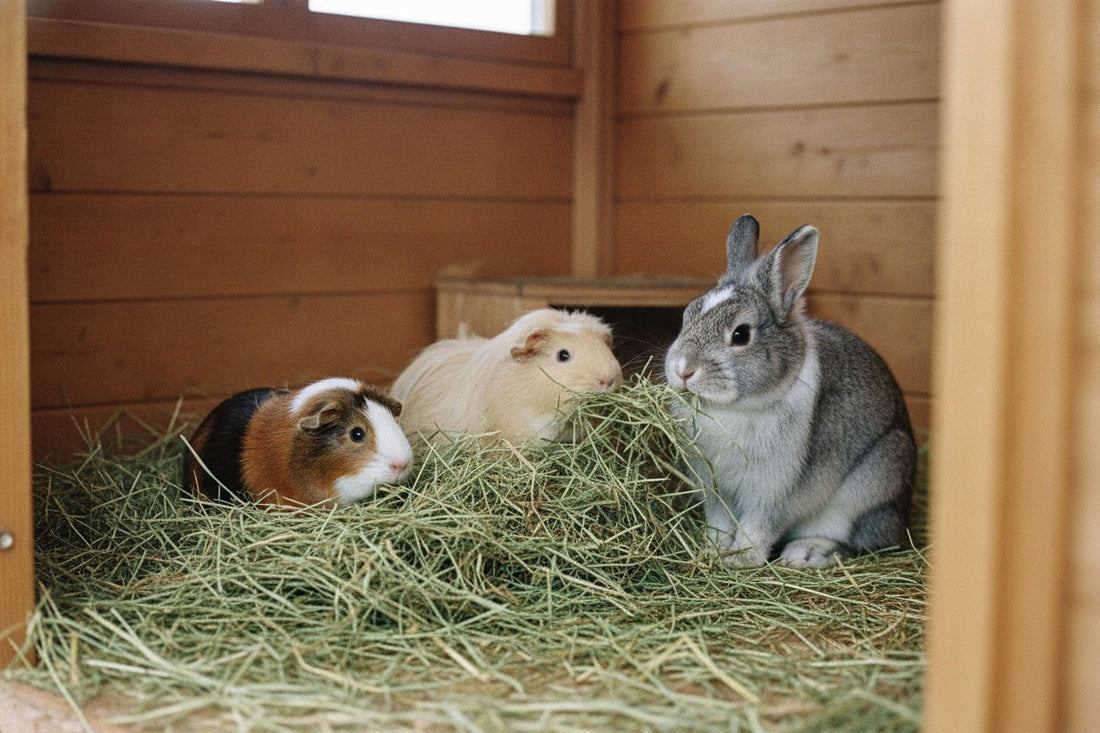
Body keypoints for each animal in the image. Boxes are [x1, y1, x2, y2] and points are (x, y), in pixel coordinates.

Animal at [664, 215, 916, 568]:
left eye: (741, 334)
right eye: (687, 316)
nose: (683, 369)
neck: (735, 408)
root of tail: (900, 519)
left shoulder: (773, 494)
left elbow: (758, 528)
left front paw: (740, 560)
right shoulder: (716, 492)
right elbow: (720, 523)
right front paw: (713, 550)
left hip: (876, 480)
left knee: (857, 541)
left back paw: (806, 552)